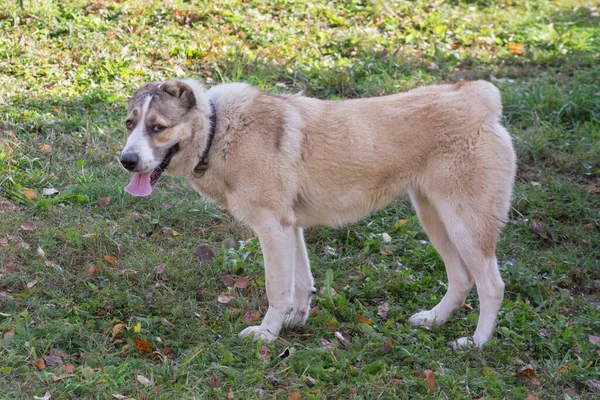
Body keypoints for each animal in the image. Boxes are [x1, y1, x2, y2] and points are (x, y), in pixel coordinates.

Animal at [120, 77, 516, 346]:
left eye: (158, 127)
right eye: (130, 123)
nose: (126, 161)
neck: (219, 129)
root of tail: (478, 97)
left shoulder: (272, 227)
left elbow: (277, 288)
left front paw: (267, 333)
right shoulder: (289, 227)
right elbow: (300, 282)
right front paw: (295, 321)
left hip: (466, 226)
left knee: (492, 286)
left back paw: (477, 343)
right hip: (435, 219)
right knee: (462, 279)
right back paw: (434, 320)